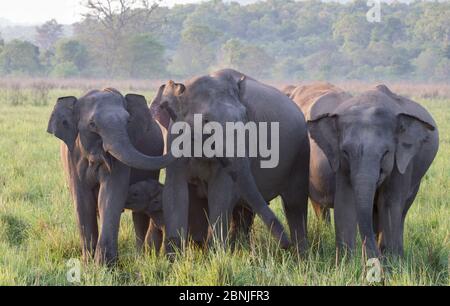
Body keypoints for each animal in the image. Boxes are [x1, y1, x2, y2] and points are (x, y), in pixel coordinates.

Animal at [47, 88, 174, 266]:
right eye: (92, 125)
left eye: (128, 121)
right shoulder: (72, 156)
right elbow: (83, 201)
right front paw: (88, 263)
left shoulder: (120, 163)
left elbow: (110, 195)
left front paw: (104, 265)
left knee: (140, 214)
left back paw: (140, 258)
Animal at [150, 69, 310, 253]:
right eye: (206, 121)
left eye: (245, 116)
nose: (285, 245)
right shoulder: (173, 138)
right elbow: (174, 191)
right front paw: (173, 257)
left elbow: (221, 193)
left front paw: (215, 254)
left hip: (300, 154)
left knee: (295, 204)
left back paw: (301, 254)